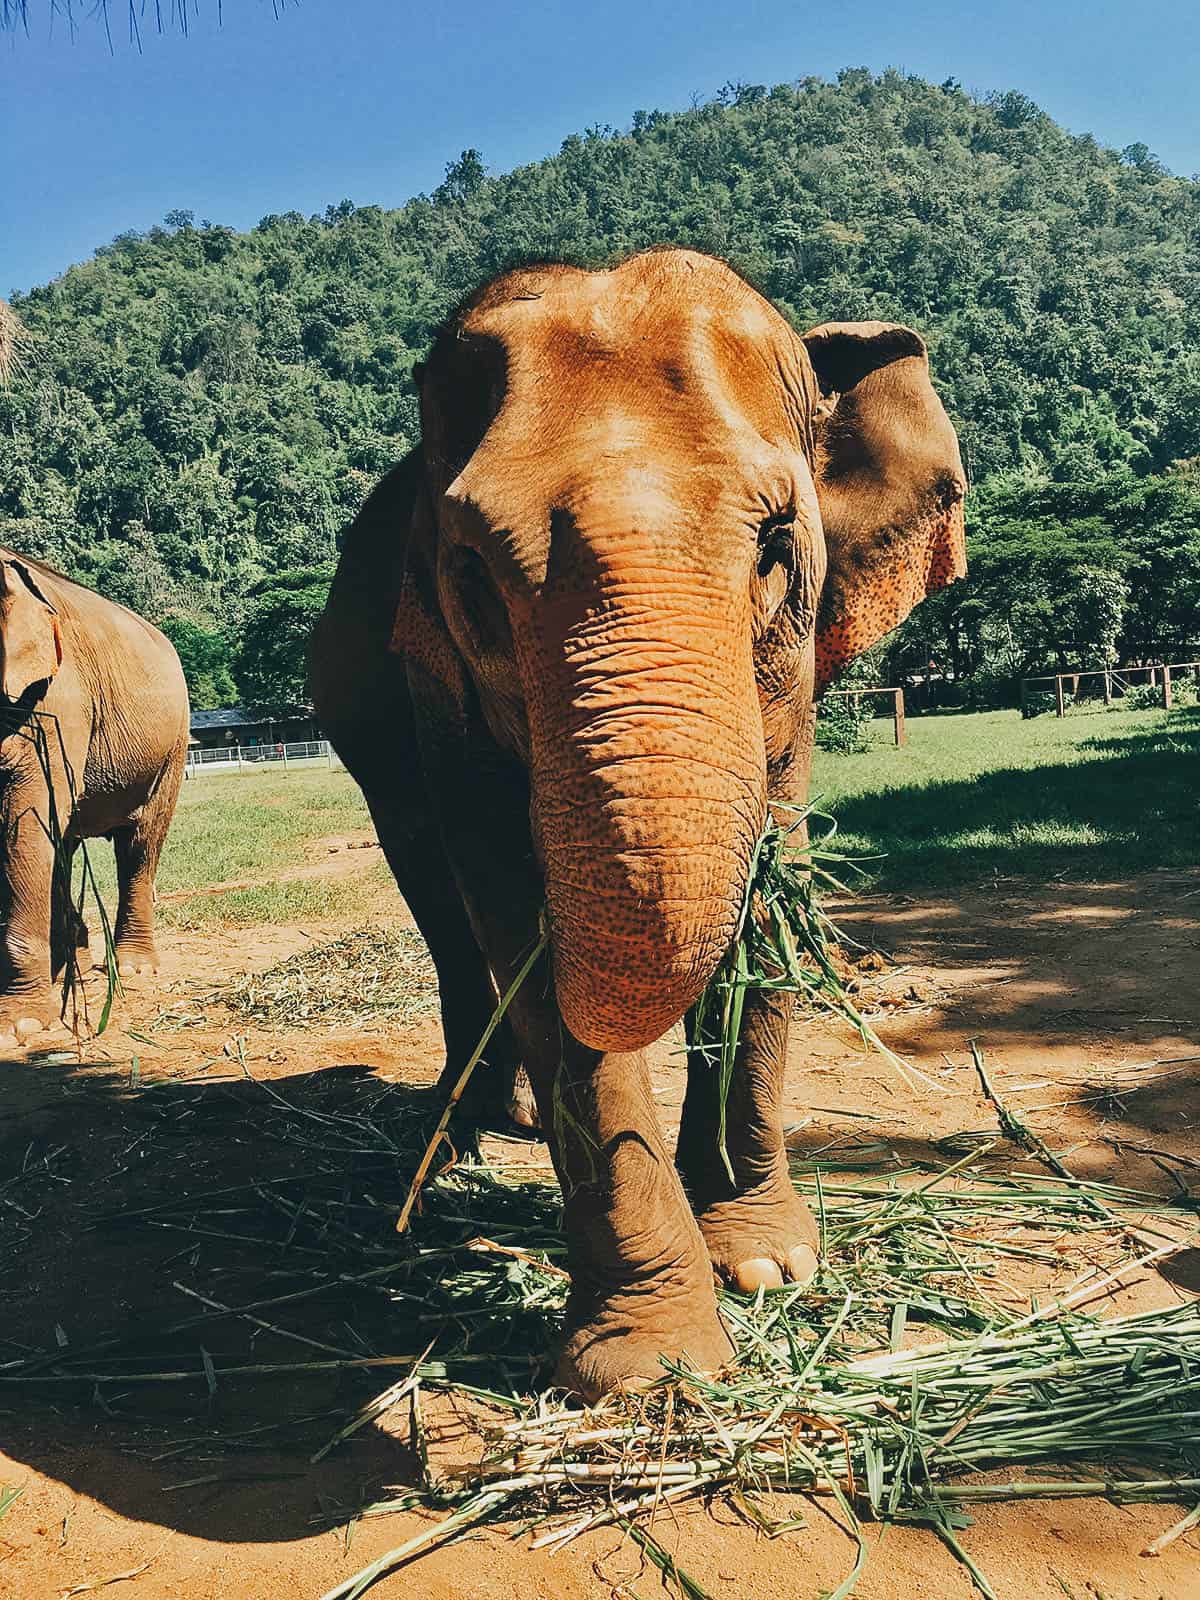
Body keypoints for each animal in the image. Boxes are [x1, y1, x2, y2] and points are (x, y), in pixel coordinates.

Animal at [0, 553, 190, 1049]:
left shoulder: (52, 701)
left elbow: (25, 820)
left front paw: (20, 1027)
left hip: (172, 748)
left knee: (140, 844)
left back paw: (133, 968)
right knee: (64, 847)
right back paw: (75, 966)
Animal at [310, 243, 966, 1395]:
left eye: (776, 545)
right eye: (471, 569)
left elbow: (776, 883)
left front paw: (766, 1263)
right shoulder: (445, 694)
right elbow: (515, 910)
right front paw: (648, 1367)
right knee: (437, 900)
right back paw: (465, 1141)